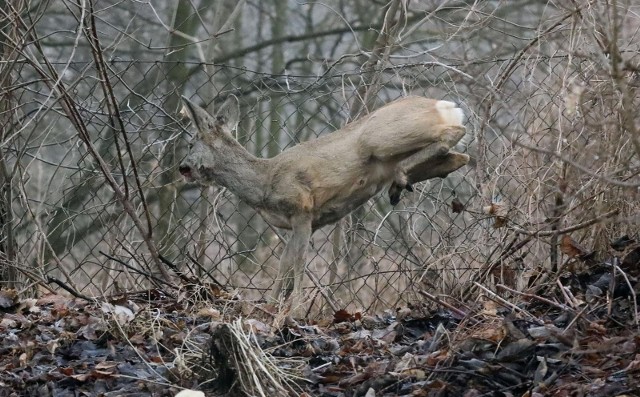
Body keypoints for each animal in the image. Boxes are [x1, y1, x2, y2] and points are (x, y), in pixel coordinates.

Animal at [179, 94, 470, 310]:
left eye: (192, 142)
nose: (183, 167)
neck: (264, 182)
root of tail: (445, 106)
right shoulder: (303, 223)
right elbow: (284, 264)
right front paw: (270, 308)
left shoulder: (302, 209)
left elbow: (298, 262)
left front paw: (294, 309)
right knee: (460, 158)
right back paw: (400, 182)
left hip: (380, 138)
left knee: (455, 133)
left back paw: (399, 177)